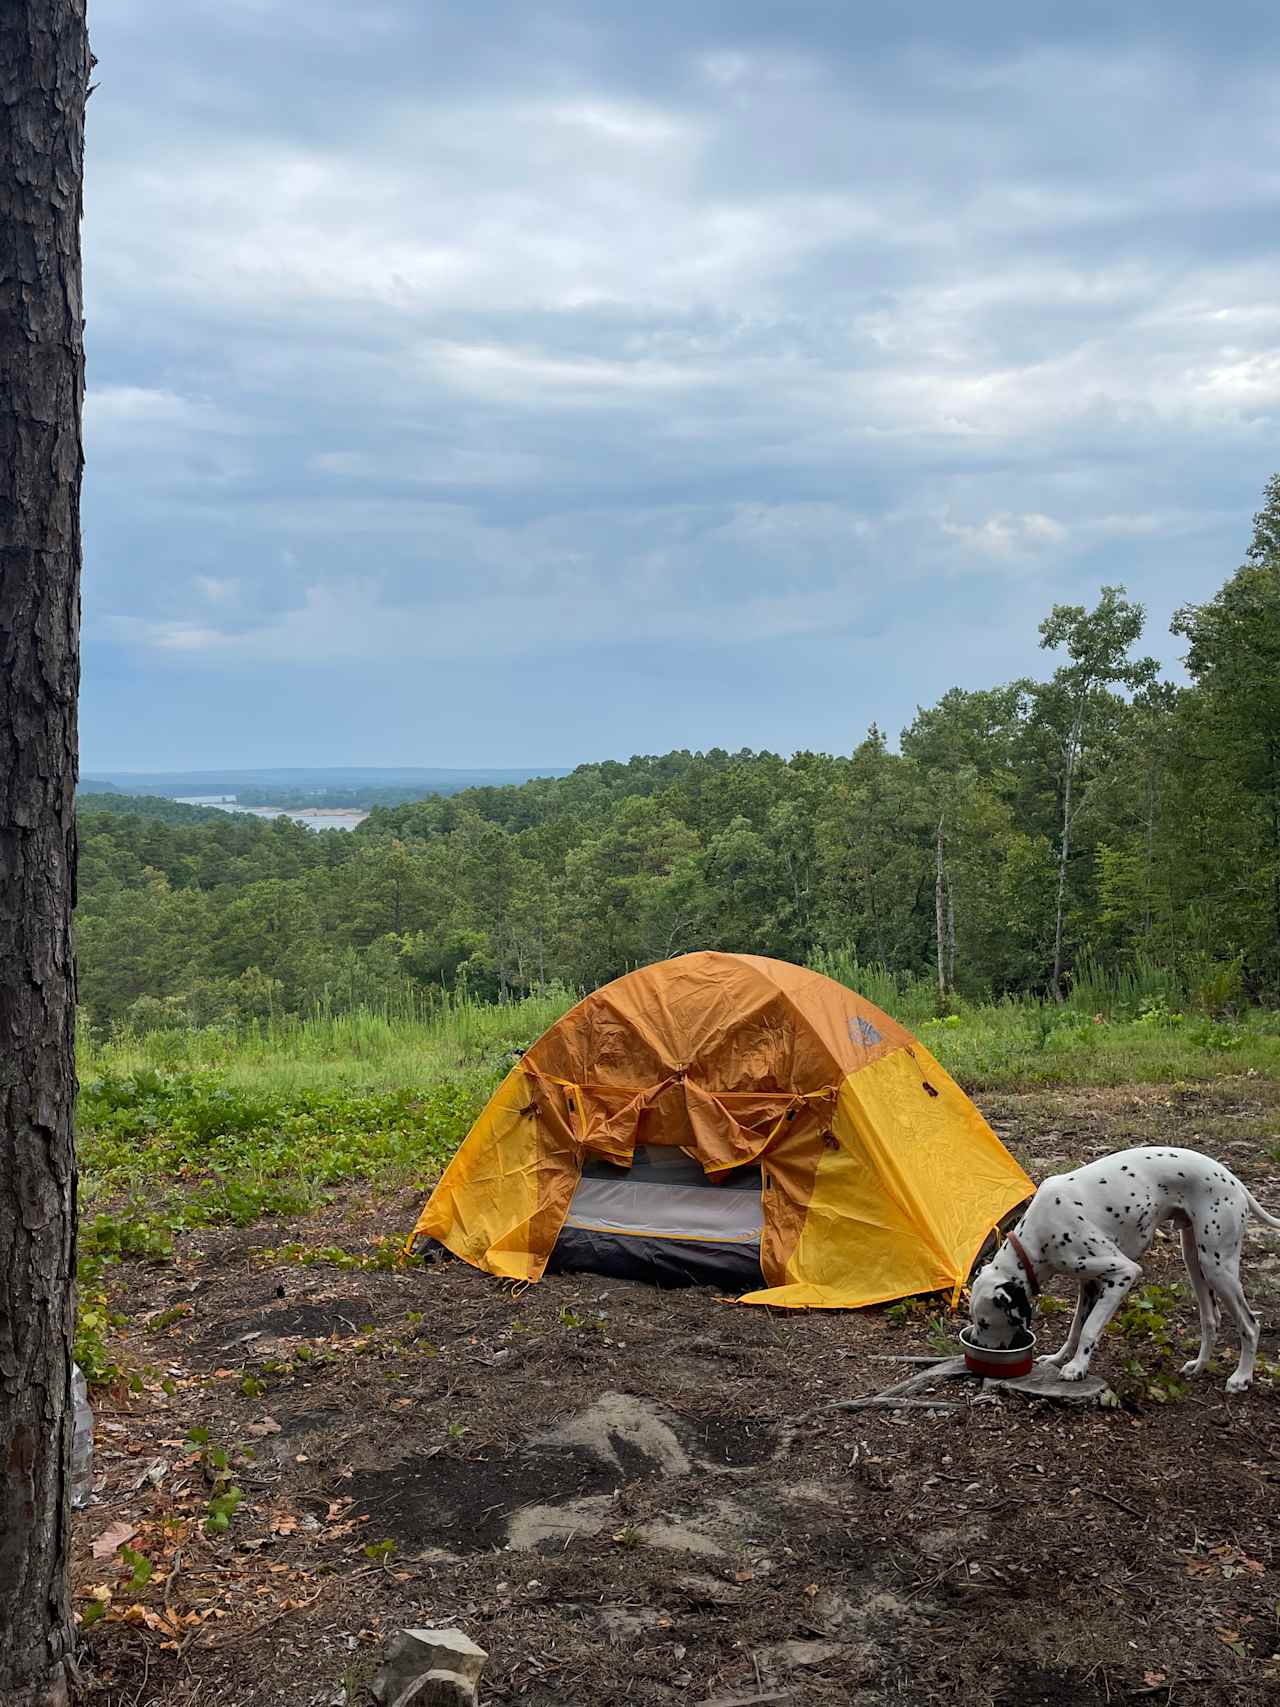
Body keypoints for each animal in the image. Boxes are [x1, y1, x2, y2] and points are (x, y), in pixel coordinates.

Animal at [969, 1147, 1280, 1386]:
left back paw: (1242, 1377)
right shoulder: (1090, 1285)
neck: (1038, 1235)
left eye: (984, 1323)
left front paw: (1077, 1368)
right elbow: (1074, 1330)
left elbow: (1089, 1329)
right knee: (1211, 1319)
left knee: (1250, 1325)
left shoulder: (1123, 1273)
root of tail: (1234, 1180)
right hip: (1195, 1260)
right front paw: (1059, 1359)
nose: (976, 1344)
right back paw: (1199, 1366)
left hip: (1218, 1268)